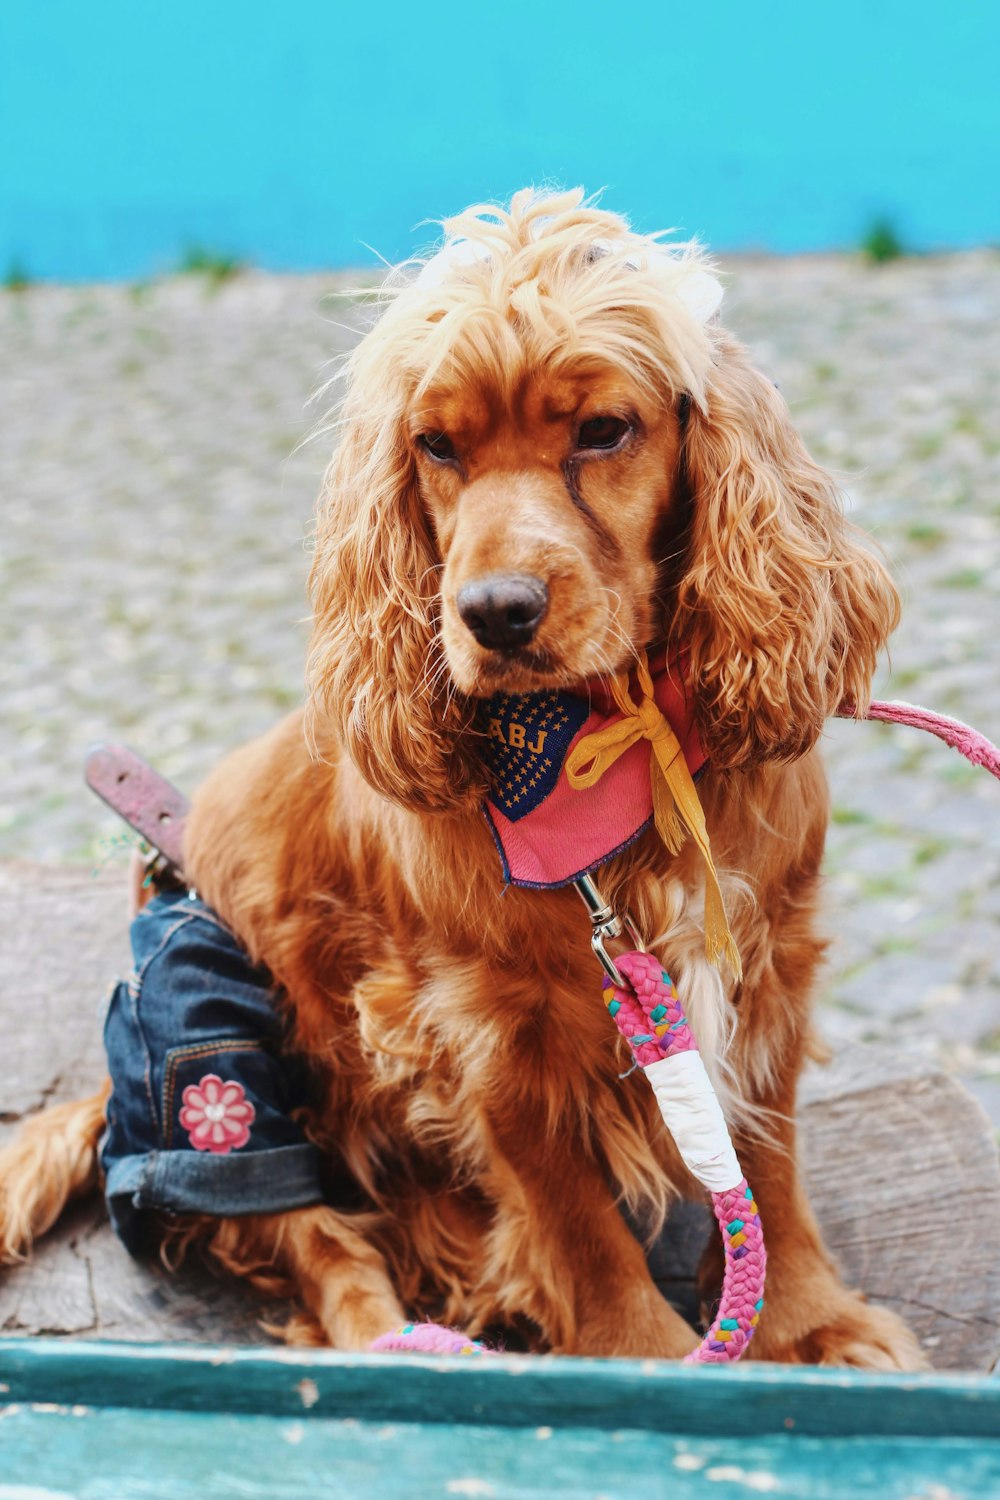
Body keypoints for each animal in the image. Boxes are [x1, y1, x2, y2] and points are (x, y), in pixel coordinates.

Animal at [0, 190, 923, 1374]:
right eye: (435, 445)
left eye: (603, 429)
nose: (494, 612)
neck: (600, 745)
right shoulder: (482, 1029)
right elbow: (573, 1217)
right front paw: (636, 1354)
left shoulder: (764, 966)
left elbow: (768, 1163)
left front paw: (810, 1322)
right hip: (215, 1055)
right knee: (316, 1240)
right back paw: (403, 1344)